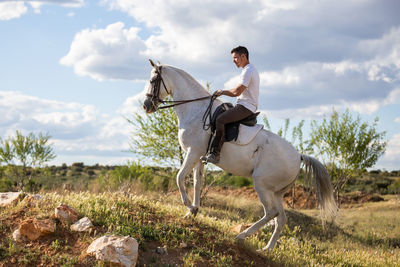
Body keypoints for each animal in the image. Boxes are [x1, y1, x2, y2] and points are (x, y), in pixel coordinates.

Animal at [142, 61, 336, 251]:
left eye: (152, 81)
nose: (146, 106)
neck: (195, 110)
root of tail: (298, 156)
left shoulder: (192, 152)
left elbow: (179, 177)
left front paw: (189, 206)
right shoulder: (198, 158)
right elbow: (197, 183)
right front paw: (193, 211)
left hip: (262, 185)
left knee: (271, 213)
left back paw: (241, 236)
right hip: (276, 192)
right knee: (280, 219)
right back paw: (266, 249)